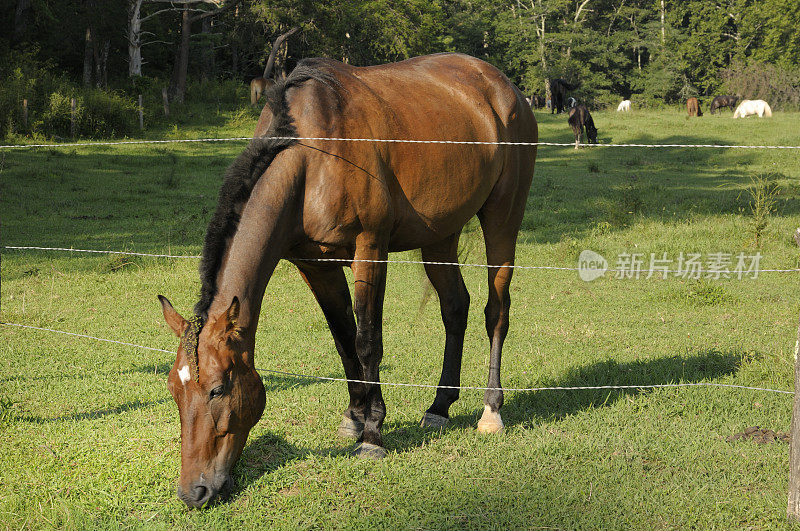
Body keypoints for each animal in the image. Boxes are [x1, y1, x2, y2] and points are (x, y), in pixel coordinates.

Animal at [158, 54, 536, 512]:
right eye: (174, 393)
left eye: (216, 390)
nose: (193, 491)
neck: (311, 157)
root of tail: (505, 87)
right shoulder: (314, 265)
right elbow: (343, 339)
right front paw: (354, 417)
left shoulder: (369, 248)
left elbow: (367, 340)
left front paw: (372, 434)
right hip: (439, 234)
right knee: (454, 307)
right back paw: (440, 406)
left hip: (503, 217)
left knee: (495, 311)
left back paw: (490, 410)